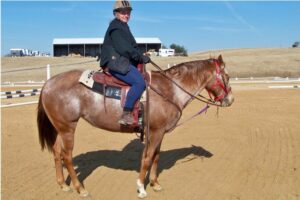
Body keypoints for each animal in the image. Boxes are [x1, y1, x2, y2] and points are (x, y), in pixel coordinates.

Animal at [37, 54, 234, 198]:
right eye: (227, 76)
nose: (230, 100)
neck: (171, 90)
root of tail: (48, 84)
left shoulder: (159, 132)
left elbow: (155, 157)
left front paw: (155, 183)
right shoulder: (155, 132)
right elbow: (147, 158)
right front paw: (141, 187)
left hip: (60, 128)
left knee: (56, 152)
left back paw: (63, 185)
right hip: (68, 128)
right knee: (67, 156)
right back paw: (80, 188)